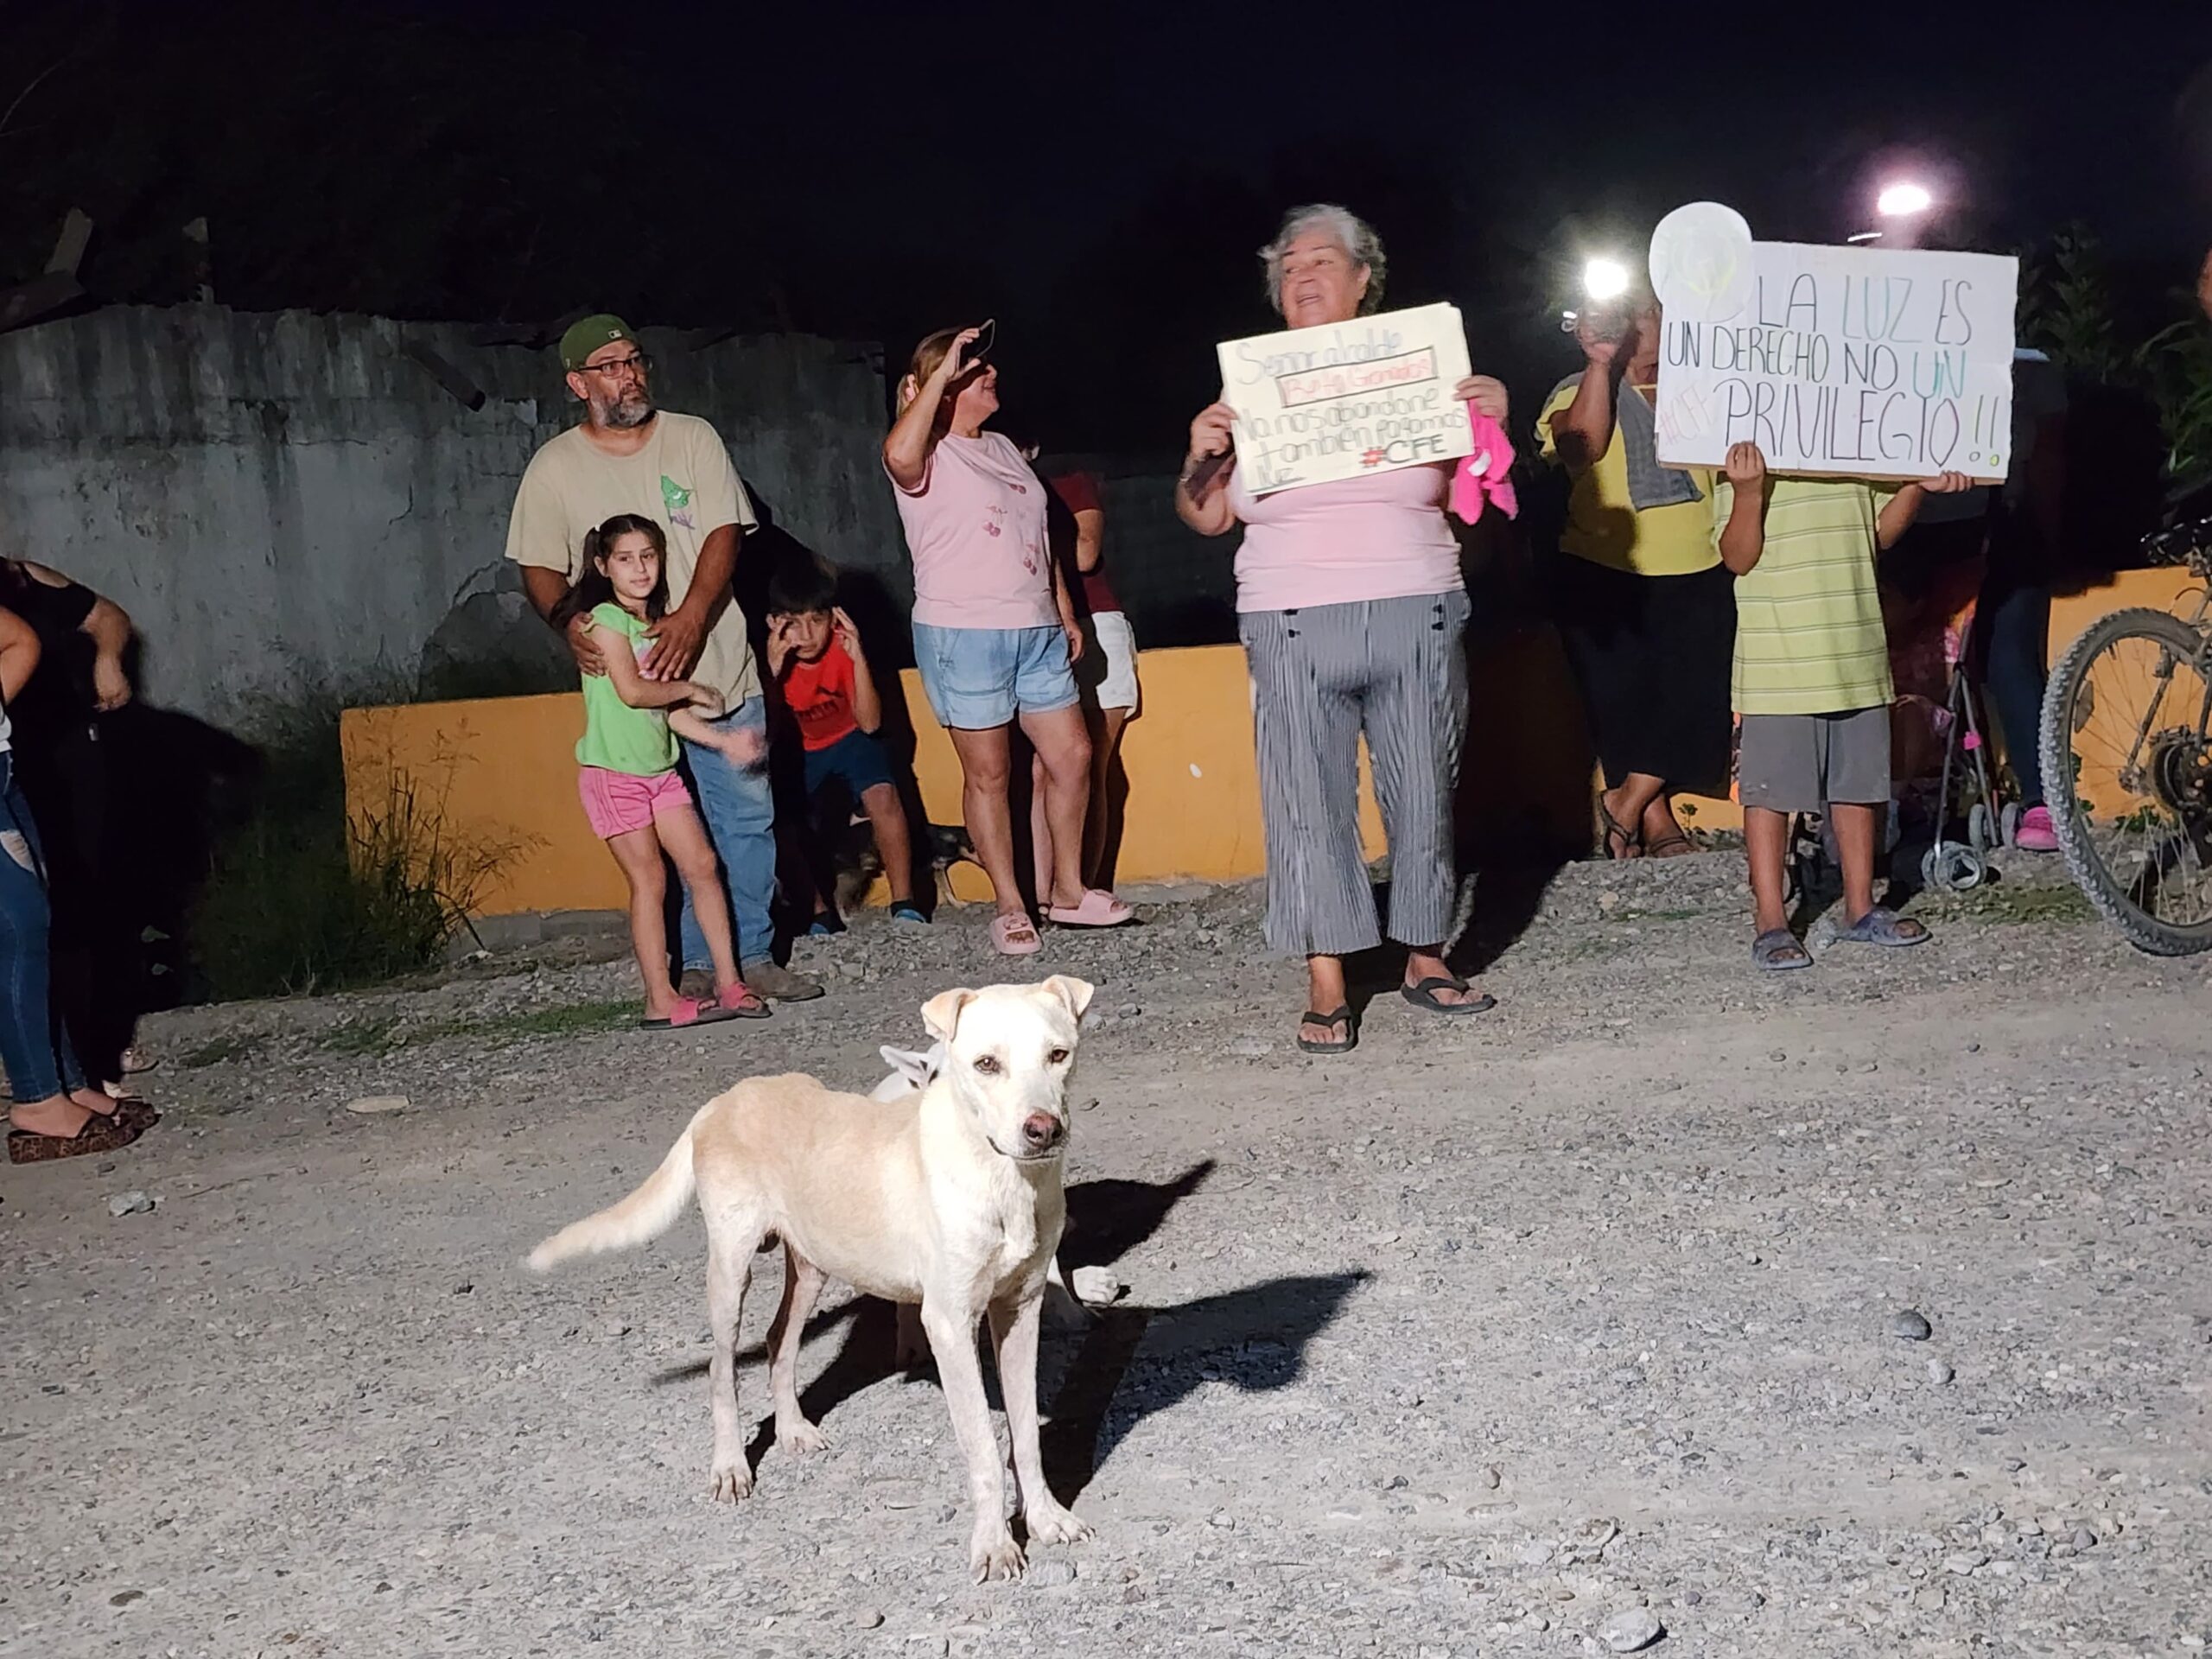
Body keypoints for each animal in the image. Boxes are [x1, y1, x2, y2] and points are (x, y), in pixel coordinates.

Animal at [528, 976, 1096, 1582]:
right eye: (986, 1064)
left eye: (1058, 1055)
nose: (1043, 1130)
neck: (1001, 1177)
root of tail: (724, 1100)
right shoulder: (949, 1323)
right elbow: (985, 1450)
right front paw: (994, 1545)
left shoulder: (1018, 1310)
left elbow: (1026, 1436)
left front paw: (1046, 1520)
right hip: (731, 1268)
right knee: (721, 1369)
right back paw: (730, 1465)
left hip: (811, 1267)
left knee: (779, 1341)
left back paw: (792, 1429)